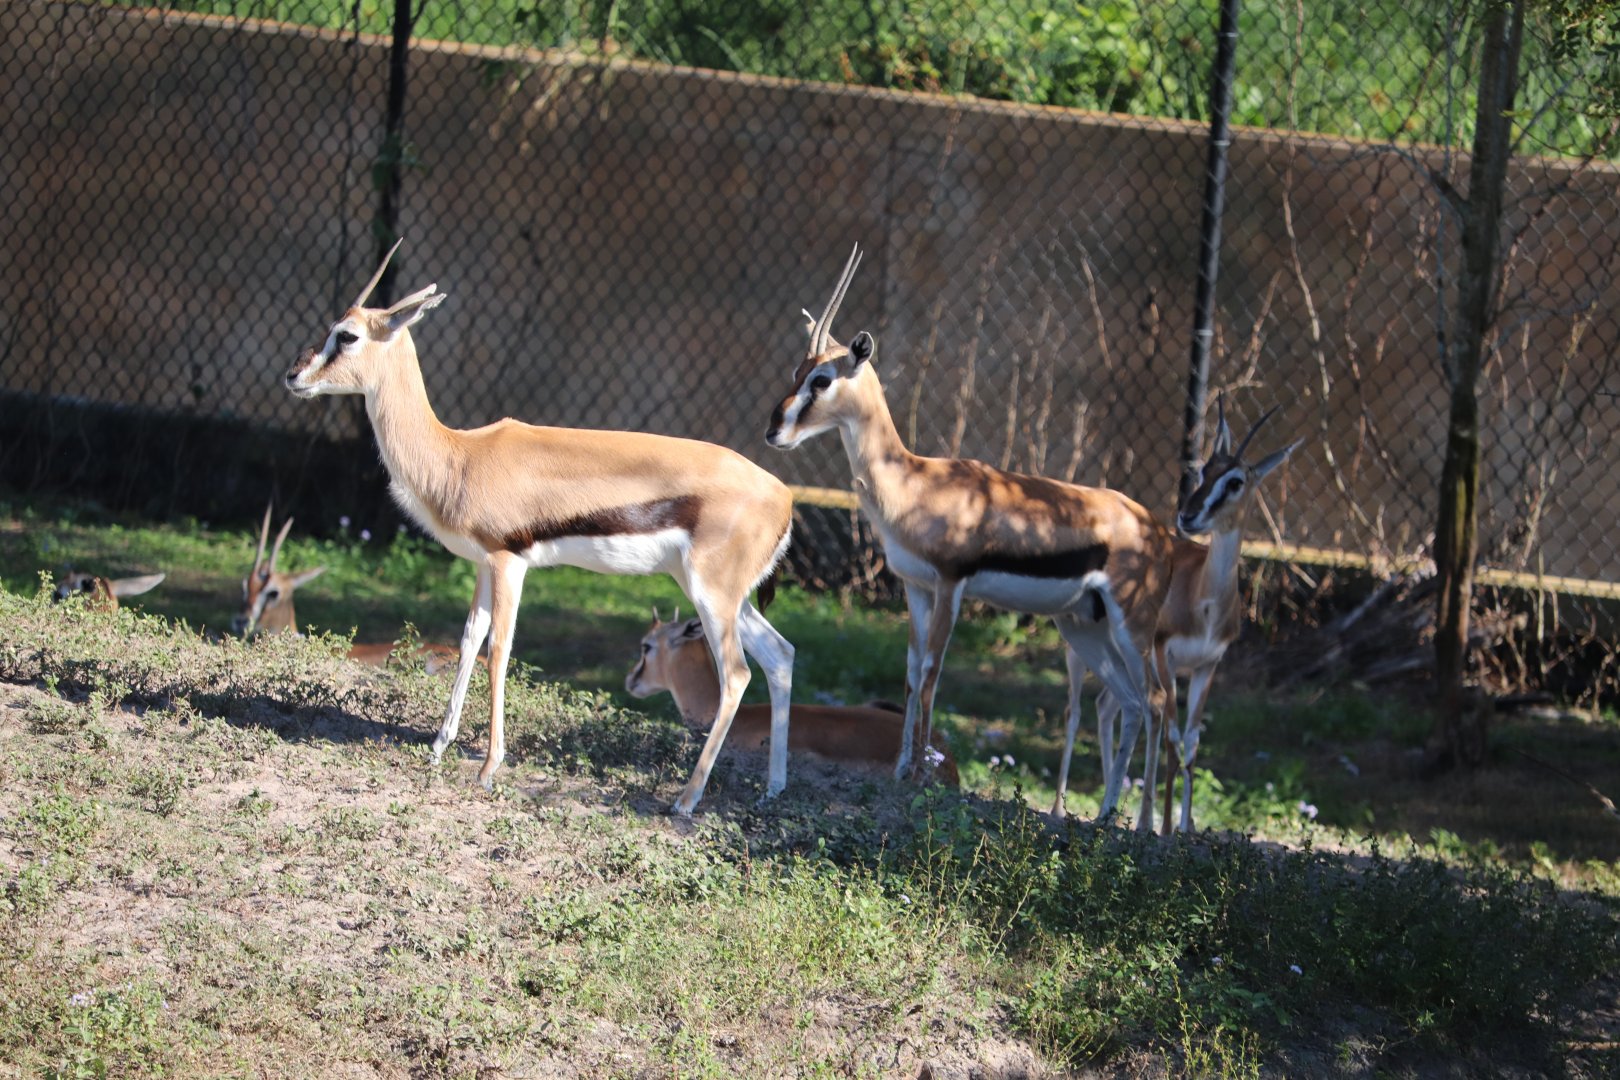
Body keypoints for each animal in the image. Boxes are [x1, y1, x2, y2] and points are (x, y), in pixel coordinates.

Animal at [283, 240, 795, 812]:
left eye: (346, 334)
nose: (294, 376)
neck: (460, 457)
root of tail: (785, 496)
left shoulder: (510, 564)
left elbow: (499, 651)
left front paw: (488, 768)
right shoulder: (483, 565)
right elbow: (469, 640)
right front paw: (438, 746)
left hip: (711, 595)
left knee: (737, 674)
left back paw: (686, 799)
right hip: (722, 595)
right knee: (780, 657)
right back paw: (773, 789)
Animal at [764, 245, 1175, 828]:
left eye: (821, 379)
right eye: (796, 370)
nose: (774, 430)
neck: (915, 481)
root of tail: (1160, 532)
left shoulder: (950, 585)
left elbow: (933, 671)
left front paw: (920, 776)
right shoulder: (914, 587)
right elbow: (910, 673)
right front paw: (900, 771)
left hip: (1130, 624)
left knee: (1158, 701)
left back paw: (1142, 826)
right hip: (1084, 628)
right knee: (1132, 703)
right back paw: (1104, 815)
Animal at [1058, 399, 1300, 833]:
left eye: (1235, 481)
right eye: (1203, 471)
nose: (1188, 516)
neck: (1203, 600)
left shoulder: (1208, 666)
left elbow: (1191, 741)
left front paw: (1184, 827)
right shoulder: (1164, 656)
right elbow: (1170, 734)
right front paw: (1163, 825)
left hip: (1123, 658)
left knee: (1108, 706)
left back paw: (1109, 803)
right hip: (1081, 652)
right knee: (1075, 711)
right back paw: (1060, 808)